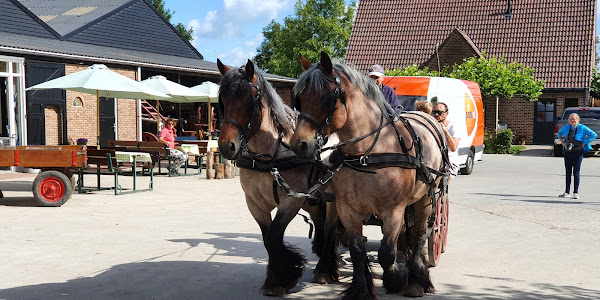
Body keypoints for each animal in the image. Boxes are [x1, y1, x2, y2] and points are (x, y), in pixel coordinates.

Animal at [216, 58, 340, 296]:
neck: (268, 156)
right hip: (312, 199)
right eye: (222, 101)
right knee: (320, 223)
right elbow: (267, 238)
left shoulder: (291, 200)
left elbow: (274, 235)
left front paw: (285, 276)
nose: (227, 146)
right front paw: (276, 279)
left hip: (332, 198)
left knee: (331, 228)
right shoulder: (254, 202)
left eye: (248, 101)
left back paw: (325, 269)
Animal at [288, 52, 448, 298]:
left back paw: (417, 280)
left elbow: (386, 253)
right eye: (299, 98)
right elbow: (357, 251)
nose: (299, 144)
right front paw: (360, 289)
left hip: (426, 198)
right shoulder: (348, 209)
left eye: (326, 98)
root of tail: (427, 115)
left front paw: (396, 279)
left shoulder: (393, 210)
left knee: (420, 234)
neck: (367, 153)